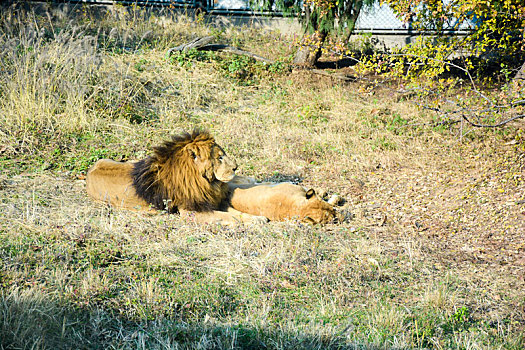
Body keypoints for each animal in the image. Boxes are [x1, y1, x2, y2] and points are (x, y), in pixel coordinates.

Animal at [87, 131, 266, 224]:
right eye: (220, 157)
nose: (236, 167)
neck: (206, 182)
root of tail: (89, 172)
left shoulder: (213, 201)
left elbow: (235, 213)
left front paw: (257, 218)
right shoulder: (192, 210)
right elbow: (228, 216)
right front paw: (257, 220)